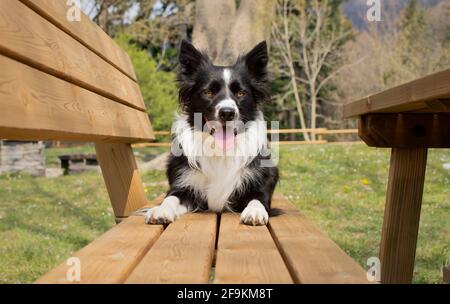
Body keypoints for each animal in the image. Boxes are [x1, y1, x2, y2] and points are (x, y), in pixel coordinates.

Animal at [145, 39, 278, 226]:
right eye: (208, 92)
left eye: (241, 93)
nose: (227, 113)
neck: (219, 149)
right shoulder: (184, 186)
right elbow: (171, 198)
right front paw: (160, 210)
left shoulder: (260, 184)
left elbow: (258, 199)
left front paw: (255, 211)